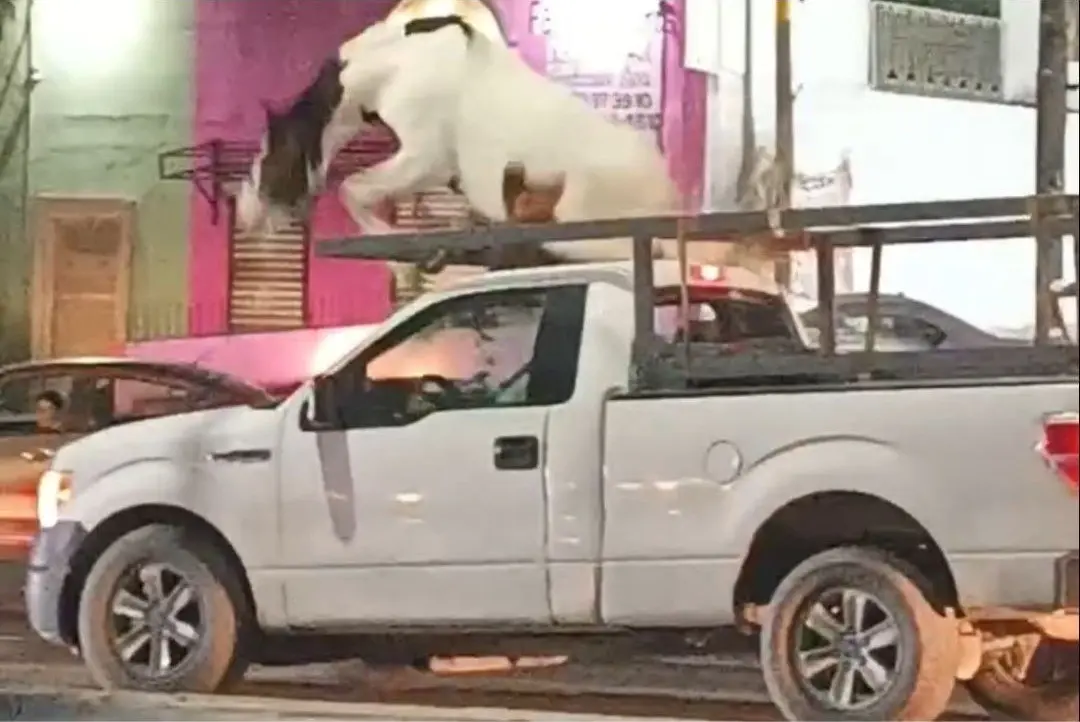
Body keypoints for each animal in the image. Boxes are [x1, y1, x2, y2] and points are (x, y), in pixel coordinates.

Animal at [237, 14, 678, 260]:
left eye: (269, 159)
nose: (243, 214)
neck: (391, 64)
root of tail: (669, 197)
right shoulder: (439, 171)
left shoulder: (425, 156)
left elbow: (352, 189)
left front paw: (400, 246)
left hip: (581, 212)